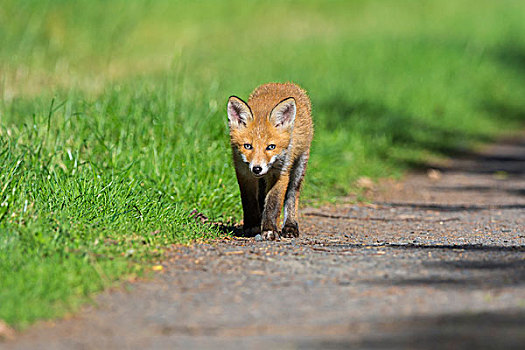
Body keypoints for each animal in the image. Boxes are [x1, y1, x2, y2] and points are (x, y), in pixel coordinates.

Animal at [225, 82, 312, 241]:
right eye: (248, 146)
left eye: (271, 147)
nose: (257, 169)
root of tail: (282, 83)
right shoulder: (244, 173)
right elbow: (249, 201)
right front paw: (252, 226)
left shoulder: (280, 172)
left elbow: (273, 203)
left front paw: (270, 229)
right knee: (261, 196)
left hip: (299, 167)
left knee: (292, 196)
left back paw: (290, 226)